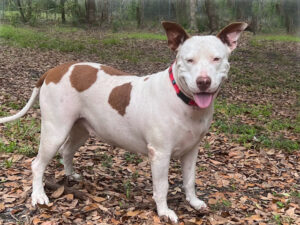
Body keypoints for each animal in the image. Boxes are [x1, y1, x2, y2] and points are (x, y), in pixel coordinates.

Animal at [0, 22, 246, 222]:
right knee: (37, 164)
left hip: (80, 129)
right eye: (189, 60)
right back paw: (39, 196)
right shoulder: (160, 154)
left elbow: (190, 180)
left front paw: (193, 202)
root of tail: (53, 70)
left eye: (217, 59)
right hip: (55, 130)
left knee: (67, 151)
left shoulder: (192, 150)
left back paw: (71, 175)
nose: (203, 81)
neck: (183, 100)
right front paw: (164, 211)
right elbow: (162, 186)